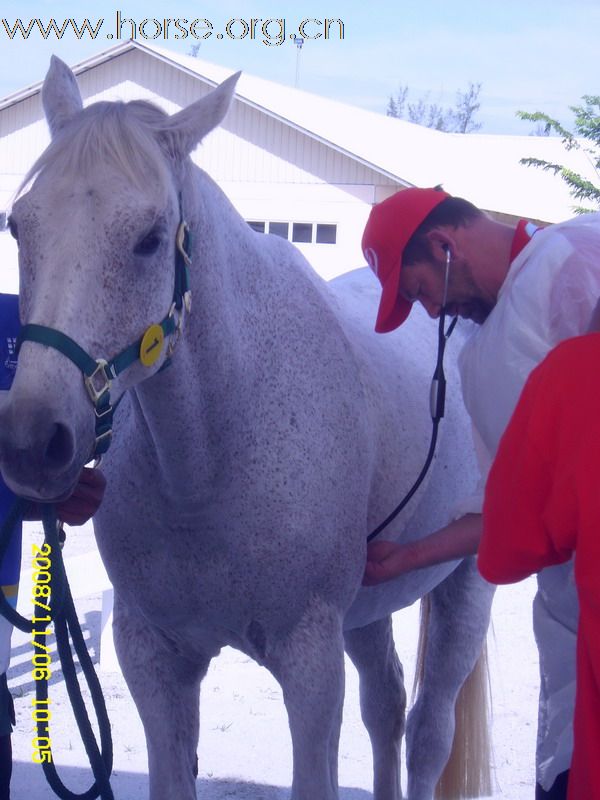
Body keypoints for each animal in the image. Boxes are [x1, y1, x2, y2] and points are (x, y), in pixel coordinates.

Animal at [0, 57, 492, 800]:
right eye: (18, 227)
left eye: (149, 238)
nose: (33, 442)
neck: (208, 464)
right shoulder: (155, 661)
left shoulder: (311, 665)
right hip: (370, 608)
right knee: (386, 703)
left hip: (466, 584)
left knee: (428, 729)